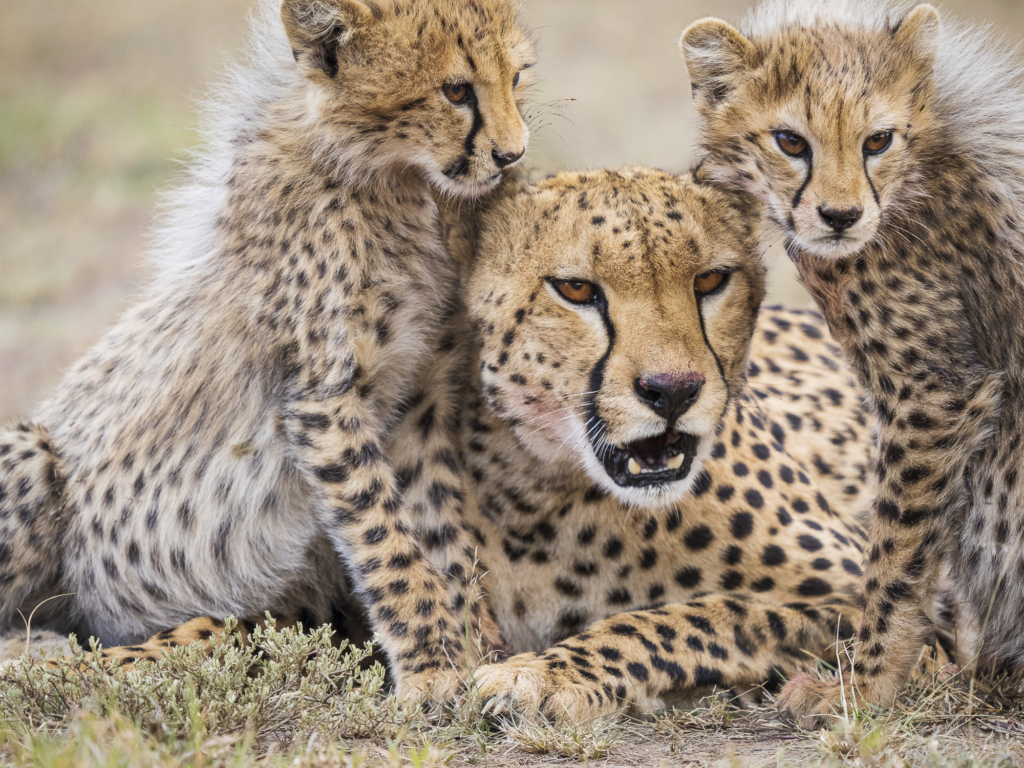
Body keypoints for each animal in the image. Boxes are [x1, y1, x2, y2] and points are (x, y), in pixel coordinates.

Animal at [684, 0, 1024, 720]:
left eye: (877, 141)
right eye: (790, 142)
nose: (840, 216)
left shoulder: (934, 396)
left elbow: (896, 555)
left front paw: (865, 686)